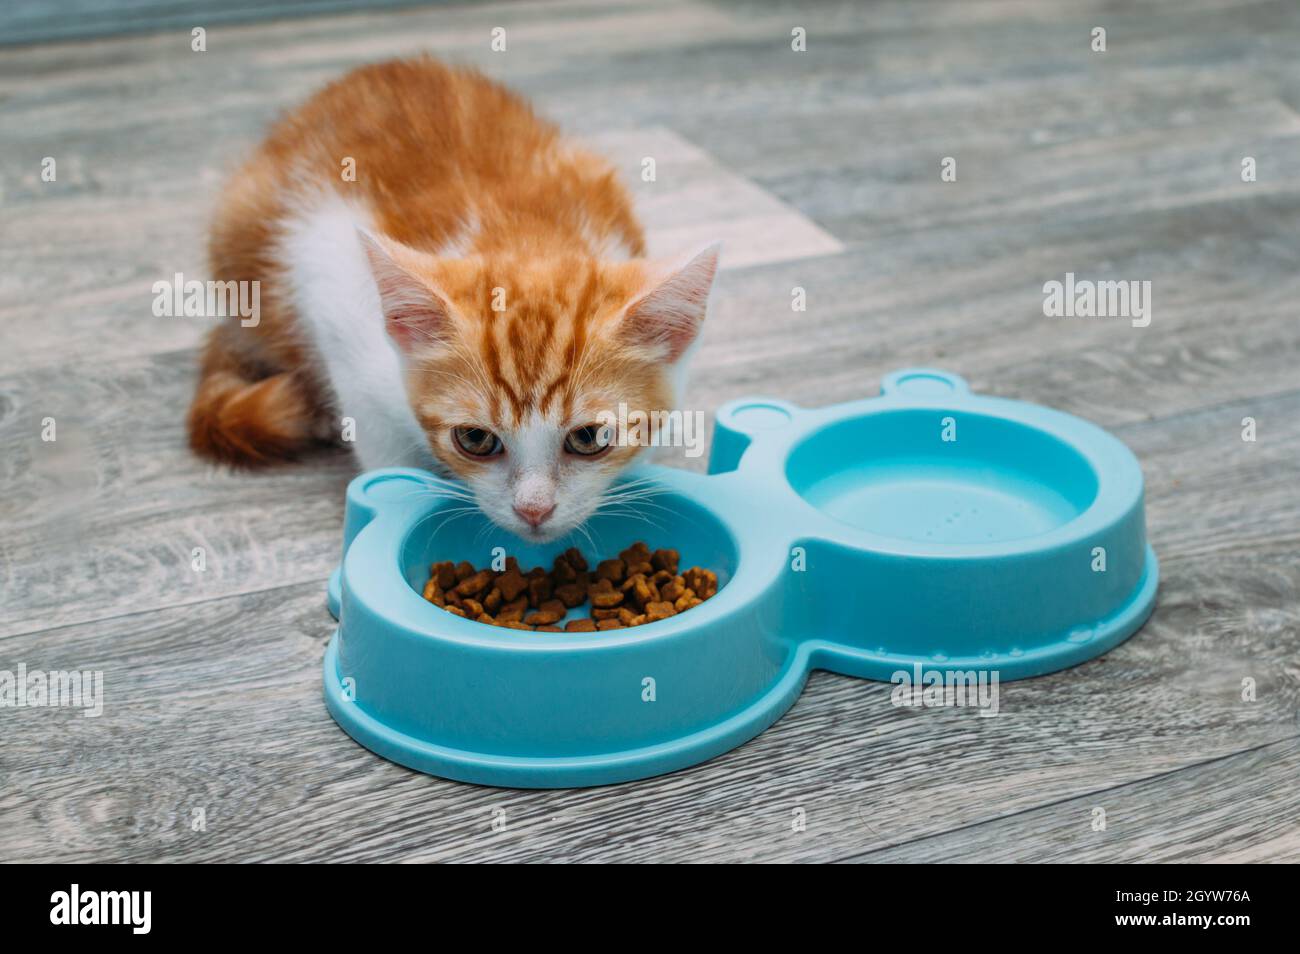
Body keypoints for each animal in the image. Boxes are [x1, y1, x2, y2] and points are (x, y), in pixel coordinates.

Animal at [189, 55, 722, 540]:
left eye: (590, 437)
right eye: (475, 439)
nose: (533, 510)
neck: (523, 239)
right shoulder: (334, 299)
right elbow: (377, 441)